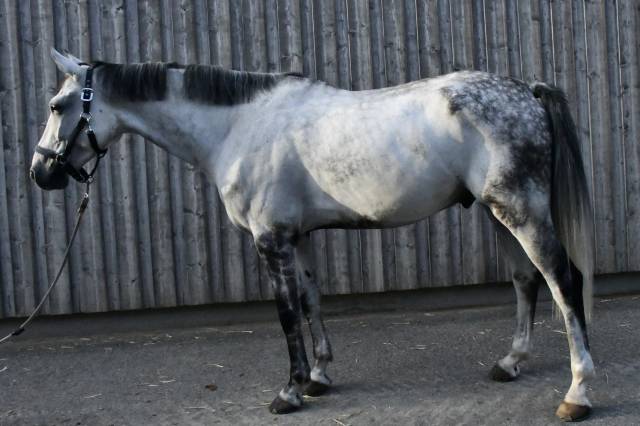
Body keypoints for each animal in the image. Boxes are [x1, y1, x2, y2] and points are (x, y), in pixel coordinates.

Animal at [31, 48, 595, 422]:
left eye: (57, 106)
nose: (41, 173)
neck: (239, 126)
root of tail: (527, 91)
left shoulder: (270, 238)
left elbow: (285, 314)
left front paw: (290, 391)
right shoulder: (296, 237)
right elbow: (310, 300)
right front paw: (320, 377)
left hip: (520, 210)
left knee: (563, 280)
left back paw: (578, 394)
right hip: (498, 213)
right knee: (526, 281)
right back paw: (510, 362)